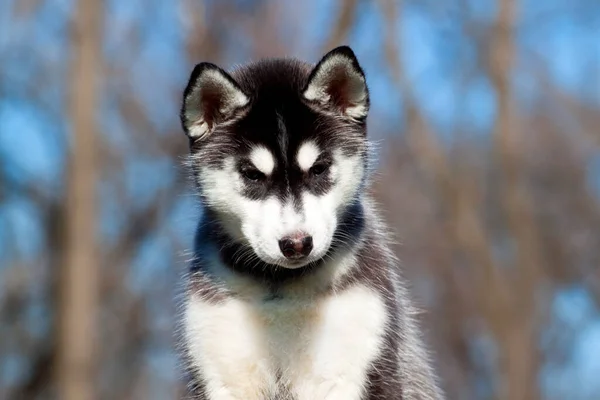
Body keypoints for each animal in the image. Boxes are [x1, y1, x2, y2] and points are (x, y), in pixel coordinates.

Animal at [177, 45, 440, 398]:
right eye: (252, 174)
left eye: (318, 169)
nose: (297, 244)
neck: (281, 286)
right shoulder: (222, 365)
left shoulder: (352, 359)